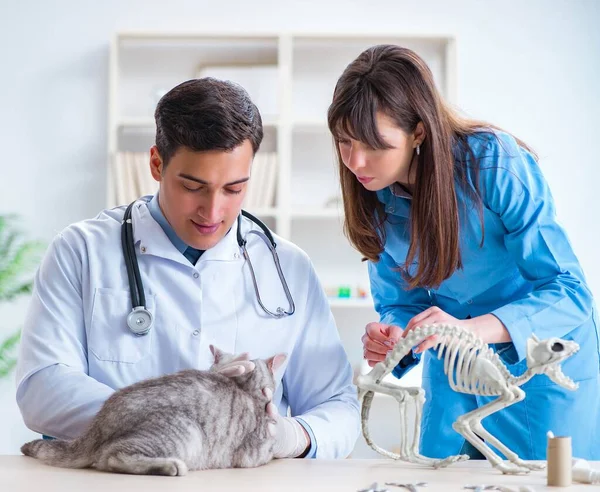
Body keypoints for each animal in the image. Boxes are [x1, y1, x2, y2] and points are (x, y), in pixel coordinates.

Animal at [21, 346, 286, 476]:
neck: (244, 386)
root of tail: (97, 425)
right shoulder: (253, 454)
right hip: (184, 433)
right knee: (111, 458)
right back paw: (170, 467)